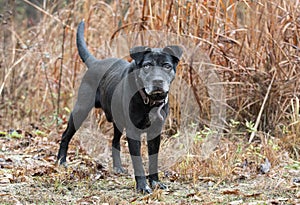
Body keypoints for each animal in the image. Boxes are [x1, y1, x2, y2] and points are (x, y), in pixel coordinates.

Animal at [56, 21, 183, 194]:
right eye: (147, 65)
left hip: (118, 121)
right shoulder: (133, 132)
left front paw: (156, 183)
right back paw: (61, 161)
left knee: (114, 141)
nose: (157, 81)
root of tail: (95, 62)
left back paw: (117, 168)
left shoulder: (155, 132)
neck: (149, 101)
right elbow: (138, 163)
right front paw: (143, 187)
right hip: (80, 110)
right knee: (65, 135)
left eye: (167, 66)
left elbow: (153, 160)